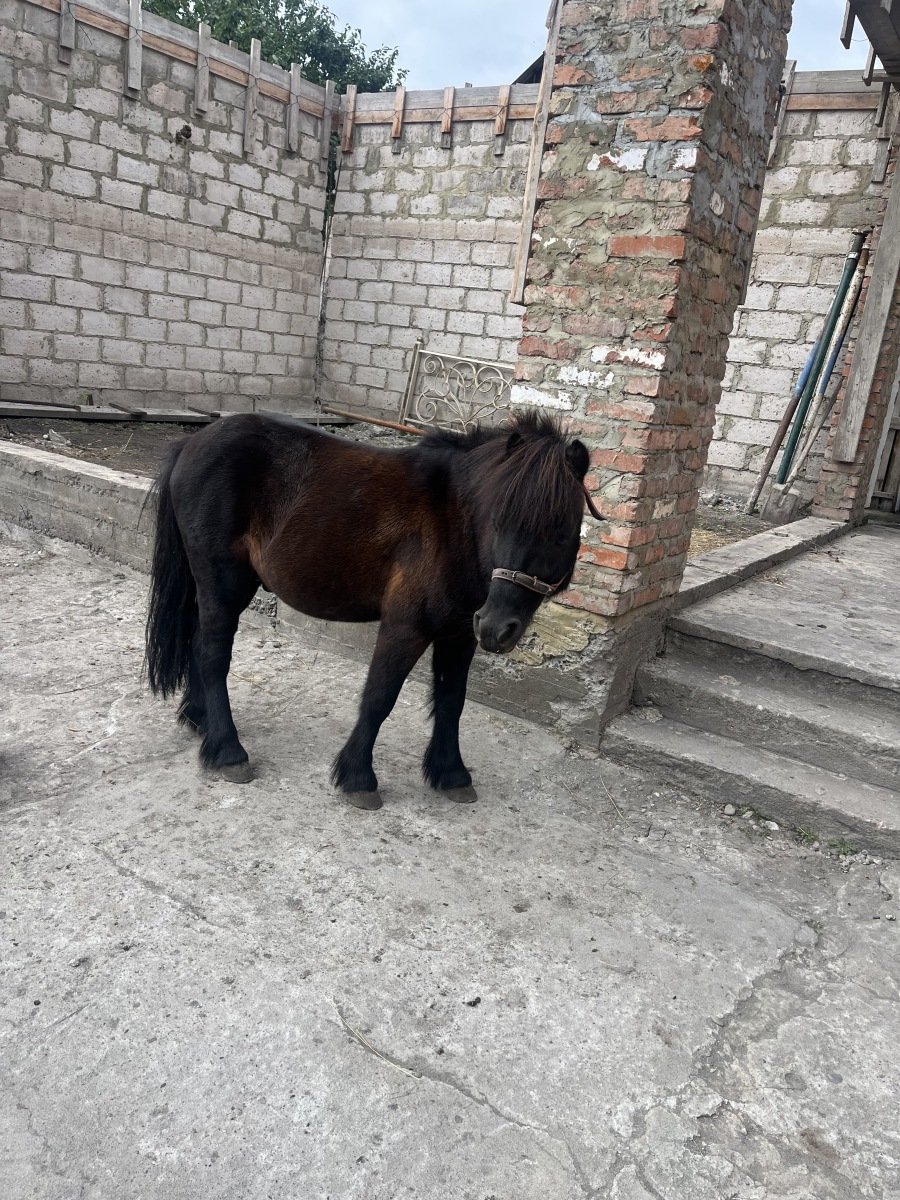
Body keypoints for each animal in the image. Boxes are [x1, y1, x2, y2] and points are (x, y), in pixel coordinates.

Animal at [144, 409, 594, 810]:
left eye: (561, 533)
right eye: (499, 521)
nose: (498, 628)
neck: (453, 520)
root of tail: (190, 444)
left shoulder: (459, 634)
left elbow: (452, 700)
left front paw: (451, 774)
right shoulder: (406, 626)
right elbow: (380, 697)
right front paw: (358, 777)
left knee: (200, 644)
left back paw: (200, 720)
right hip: (222, 581)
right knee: (212, 654)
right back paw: (227, 750)